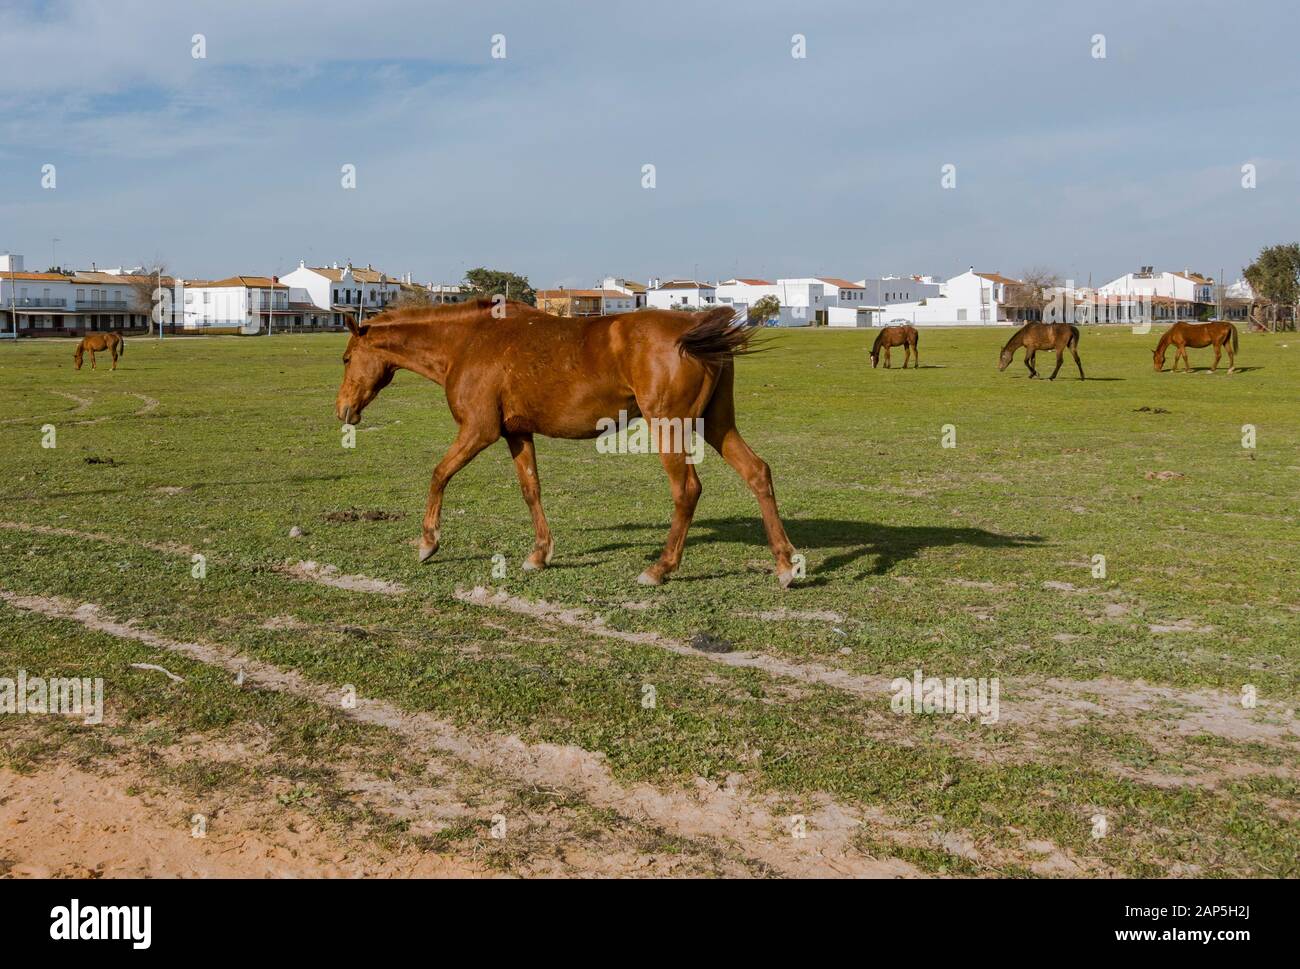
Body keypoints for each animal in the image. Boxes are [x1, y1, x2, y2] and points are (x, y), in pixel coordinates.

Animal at [334, 299, 798, 587]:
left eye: (345, 358)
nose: (342, 409)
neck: (470, 341)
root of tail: (693, 328)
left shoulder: (478, 431)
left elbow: (438, 474)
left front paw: (428, 543)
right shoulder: (516, 434)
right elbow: (531, 490)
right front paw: (539, 554)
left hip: (670, 426)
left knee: (687, 490)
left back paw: (660, 568)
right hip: (716, 424)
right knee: (757, 472)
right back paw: (785, 563)